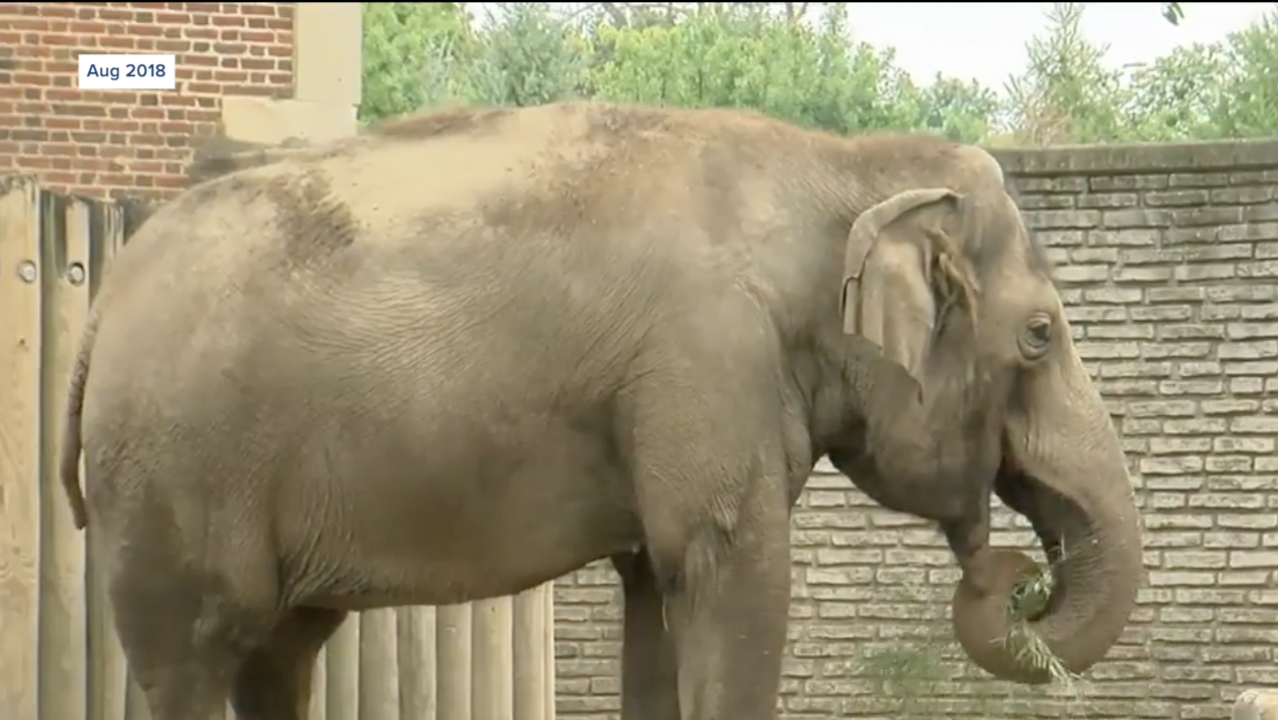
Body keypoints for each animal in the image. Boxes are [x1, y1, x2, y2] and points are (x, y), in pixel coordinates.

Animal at [58, 101, 1144, 720]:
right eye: (1041, 335)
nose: (1013, 575)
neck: (841, 164)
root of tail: (103, 299)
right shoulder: (706, 366)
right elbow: (730, 575)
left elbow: (657, 589)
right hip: (170, 480)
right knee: (195, 655)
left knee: (279, 654)